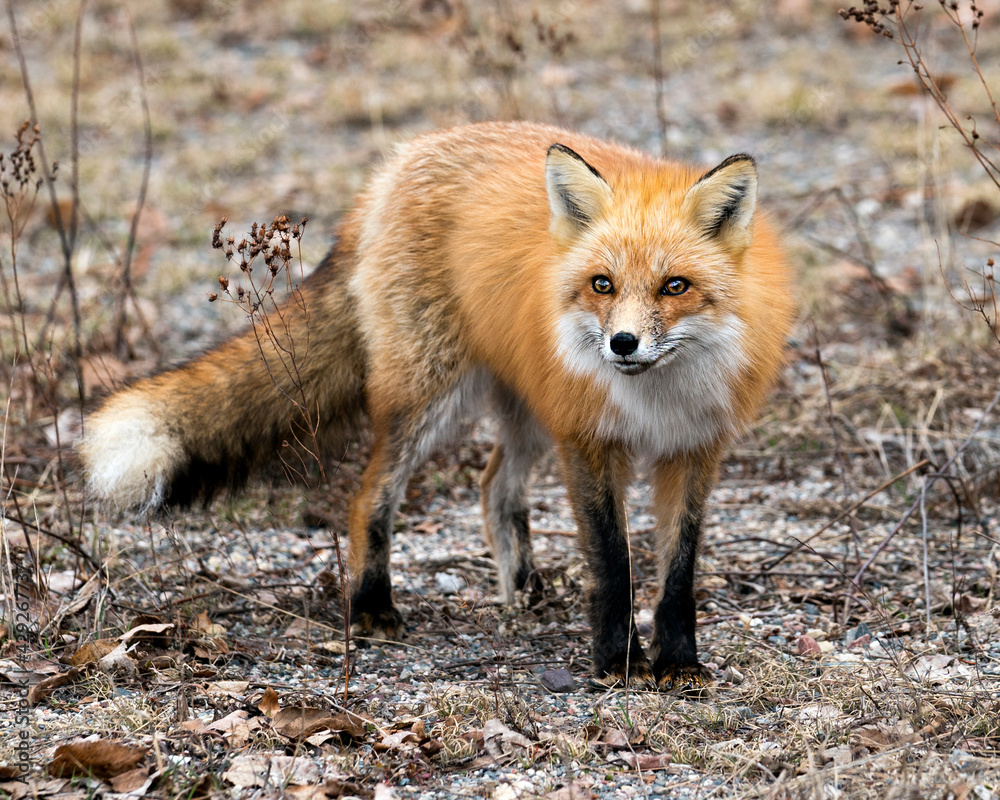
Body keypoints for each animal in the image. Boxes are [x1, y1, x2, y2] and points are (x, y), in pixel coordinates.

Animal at [78, 122, 792, 692]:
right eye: (602, 284)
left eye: (676, 286)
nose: (622, 344)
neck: (655, 396)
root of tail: (397, 163)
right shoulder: (588, 440)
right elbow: (614, 566)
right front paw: (617, 663)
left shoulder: (693, 450)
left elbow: (677, 574)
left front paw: (680, 664)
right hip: (429, 399)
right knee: (371, 495)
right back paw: (372, 606)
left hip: (527, 409)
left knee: (494, 487)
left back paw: (523, 593)